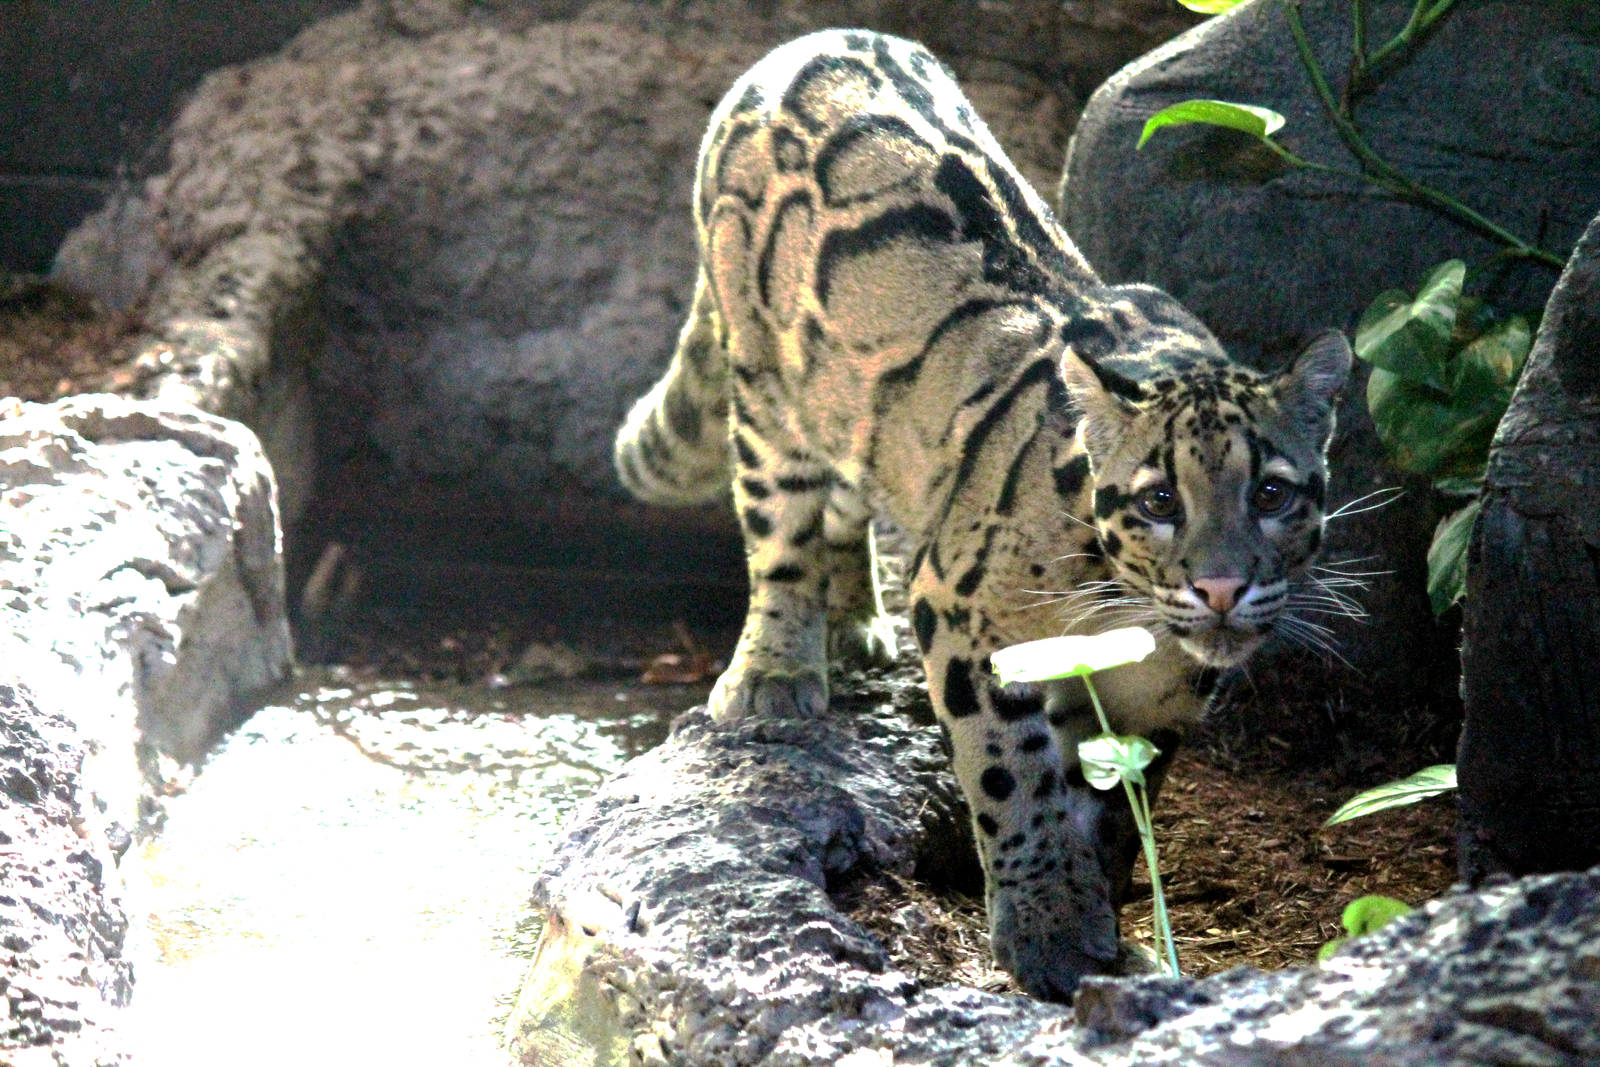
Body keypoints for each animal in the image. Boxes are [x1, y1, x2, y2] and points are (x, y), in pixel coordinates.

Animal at [614, 28, 1351, 1000]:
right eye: (1160, 499)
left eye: (1271, 493)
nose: (1223, 588)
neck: (1131, 619)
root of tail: (803, 42)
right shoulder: (966, 617)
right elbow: (1018, 780)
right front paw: (1048, 928)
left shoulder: (1155, 700)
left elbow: (1119, 810)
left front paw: (1104, 927)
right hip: (768, 390)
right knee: (782, 531)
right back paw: (778, 667)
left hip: (856, 405)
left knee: (849, 490)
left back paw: (854, 618)